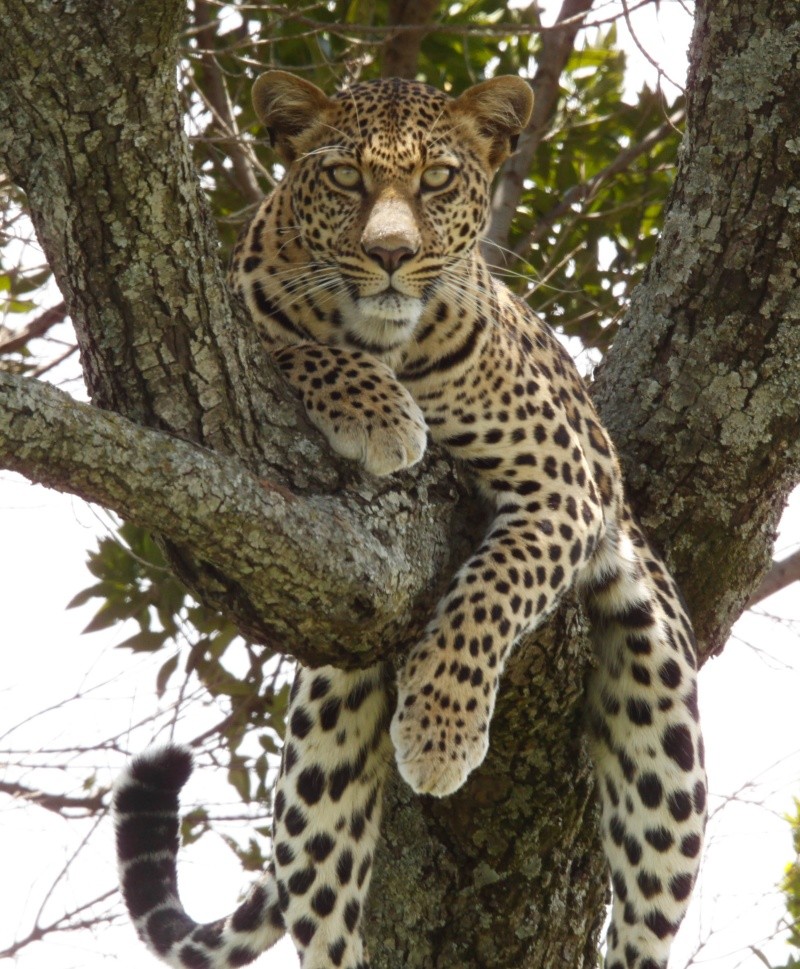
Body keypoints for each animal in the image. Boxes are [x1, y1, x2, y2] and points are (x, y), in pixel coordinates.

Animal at [114, 72, 708, 968]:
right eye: (344, 178)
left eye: (437, 179)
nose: (391, 254)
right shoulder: (251, 315)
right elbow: (298, 342)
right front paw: (380, 413)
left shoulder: (566, 483)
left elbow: (491, 591)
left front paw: (439, 731)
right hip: (324, 729)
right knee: (321, 900)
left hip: (664, 718)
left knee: (644, 904)